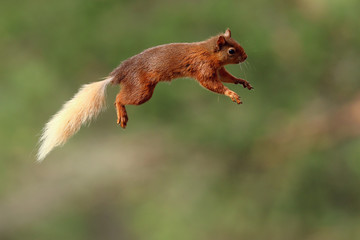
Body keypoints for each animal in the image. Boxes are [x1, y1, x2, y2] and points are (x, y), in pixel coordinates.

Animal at [35, 29, 250, 161]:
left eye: (237, 44)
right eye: (231, 51)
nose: (246, 56)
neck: (207, 52)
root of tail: (117, 74)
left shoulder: (218, 69)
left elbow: (227, 77)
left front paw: (241, 82)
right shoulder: (203, 68)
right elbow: (212, 84)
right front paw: (231, 94)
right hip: (142, 91)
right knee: (119, 98)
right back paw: (122, 114)